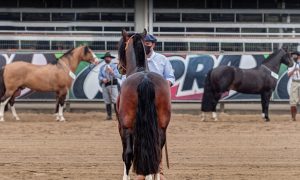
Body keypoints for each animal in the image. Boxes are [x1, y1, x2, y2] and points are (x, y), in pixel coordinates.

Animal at [116, 28, 170, 179]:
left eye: (121, 47)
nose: (118, 67)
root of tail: (145, 80)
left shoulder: (121, 127)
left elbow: (126, 154)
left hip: (127, 126)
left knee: (128, 154)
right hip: (161, 128)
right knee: (157, 154)